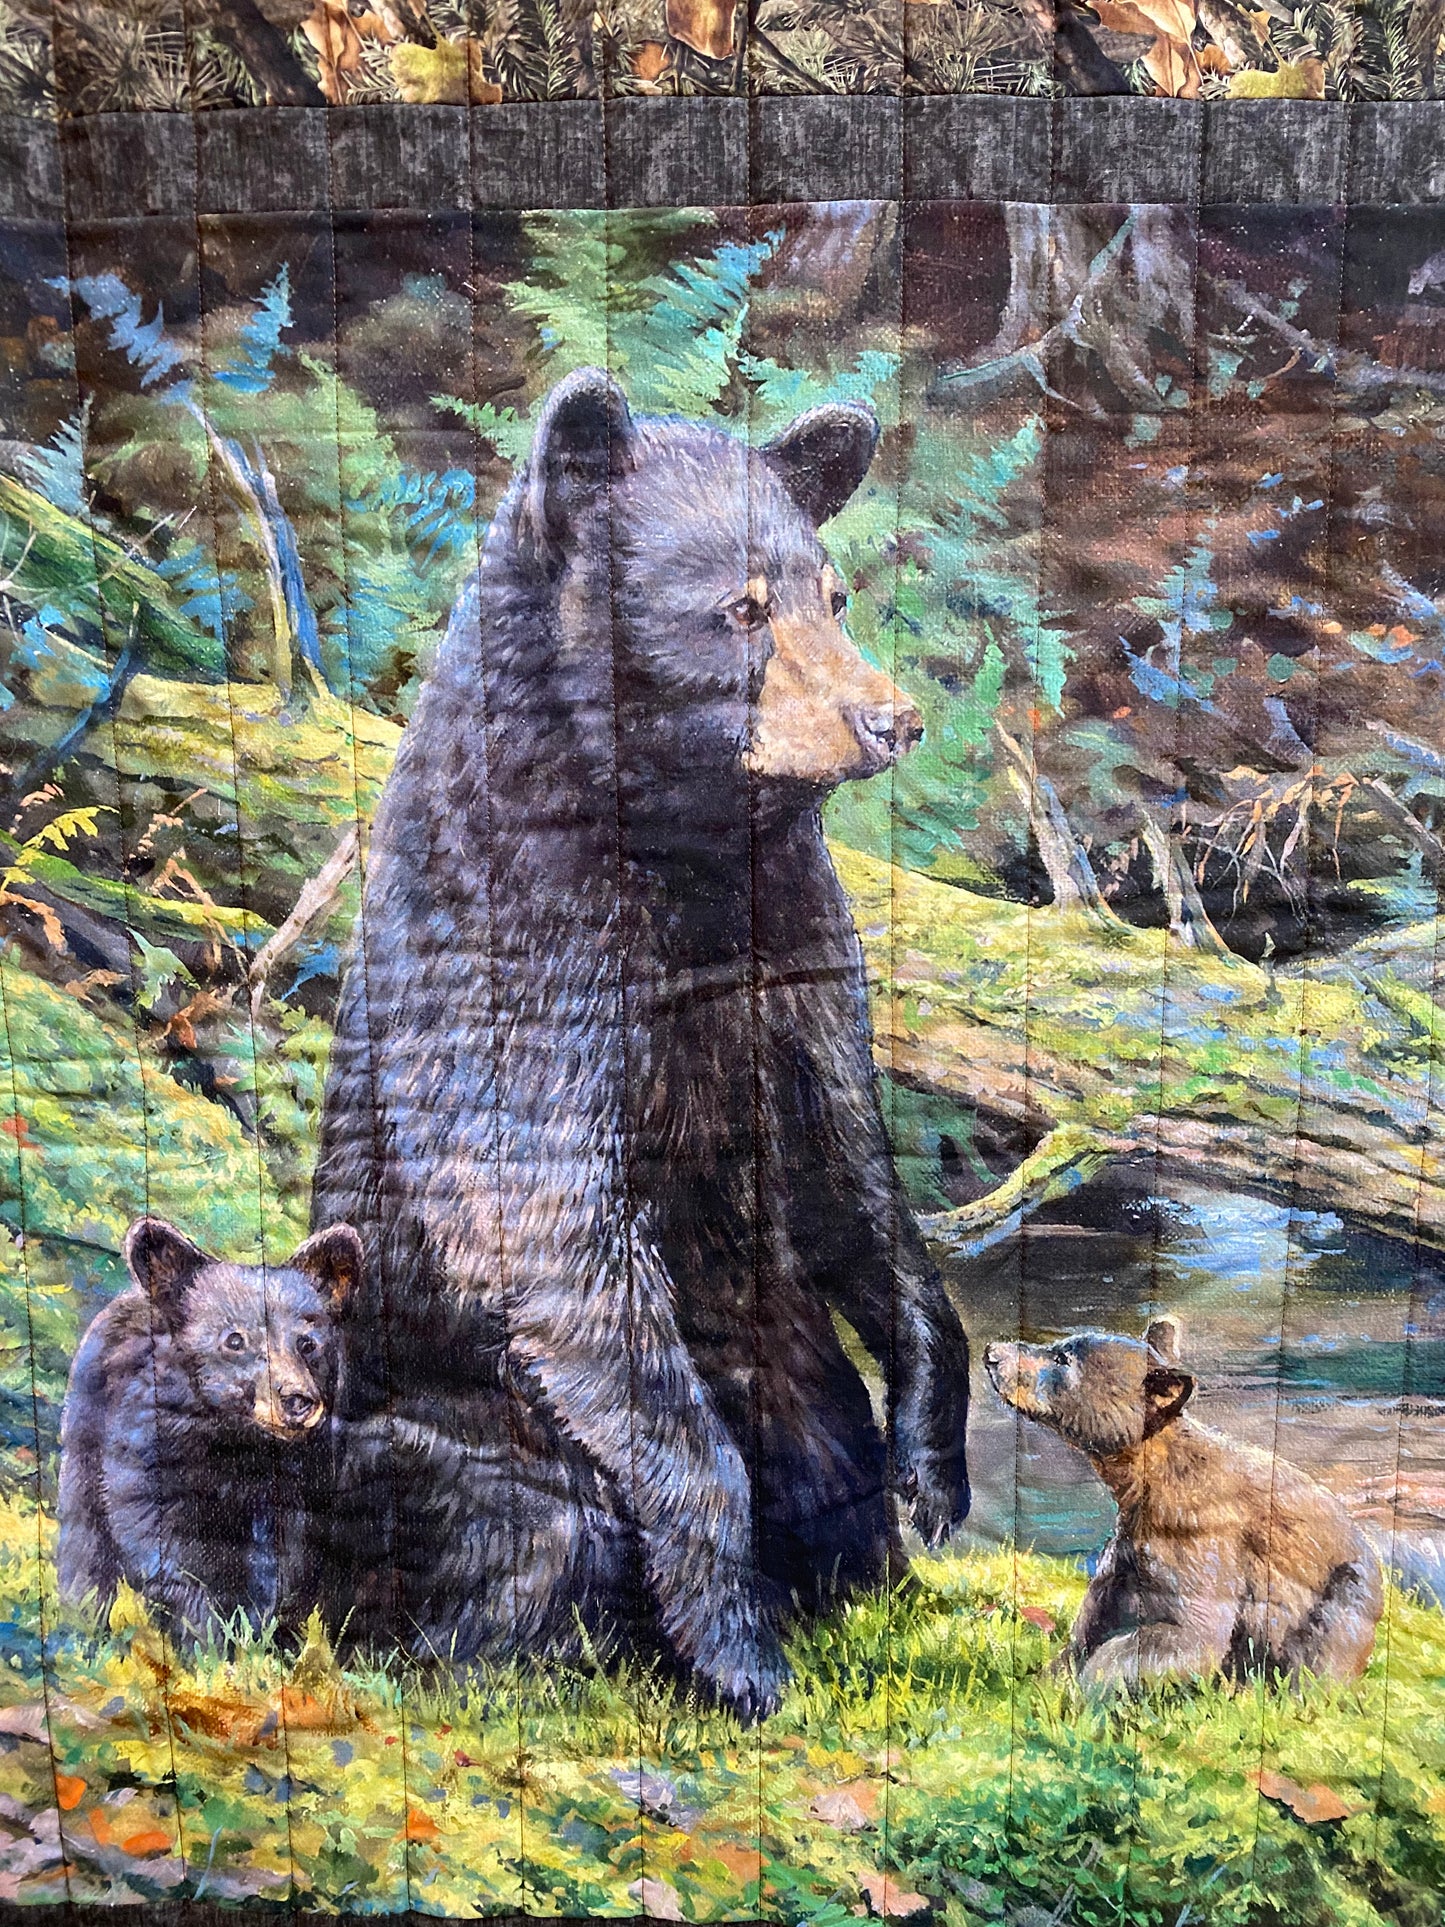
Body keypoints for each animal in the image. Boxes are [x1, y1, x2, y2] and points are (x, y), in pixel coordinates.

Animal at [57, 1216, 360, 1641]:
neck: (239, 1446)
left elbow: (288, 1561)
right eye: (234, 1340)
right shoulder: (153, 1458)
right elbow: (173, 1552)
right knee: (84, 1539)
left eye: (308, 1343)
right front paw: (207, 1638)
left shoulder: (299, 1484)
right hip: (85, 1440)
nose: (297, 1400)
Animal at [311, 367, 973, 1719]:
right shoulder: (525, 972)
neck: (688, 856)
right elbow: (557, 1237)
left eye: (833, 595)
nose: (891, 720)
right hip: (439, 1434)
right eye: (739, 607)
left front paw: (934, 1469)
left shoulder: (791, 959)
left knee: (819, 1429)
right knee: (533, 1524)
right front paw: (735, 1651)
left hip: (781, 1348)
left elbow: (846, 1169)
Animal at [983, 1316, 1383, 1692]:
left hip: (1342, 1601)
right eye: (1058, 1347)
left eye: (1062, 1359)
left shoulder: (1203, 1541)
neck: (1147, 1483)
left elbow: (1191, 1633)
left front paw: (1092, 1688)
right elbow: (1092, 1626)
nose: (991, 1352)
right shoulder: (1127, 1552)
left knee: (1320, 1650)